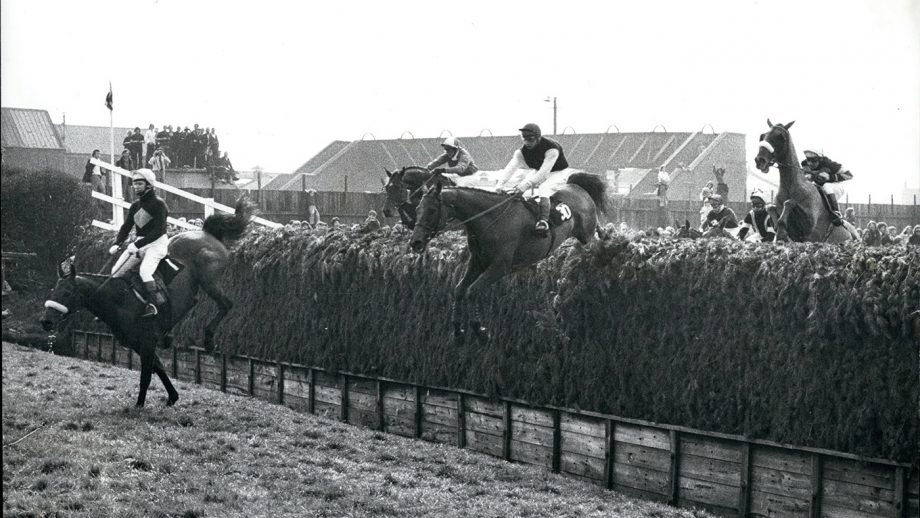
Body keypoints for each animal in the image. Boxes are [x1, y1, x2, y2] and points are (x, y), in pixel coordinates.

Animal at [40, 199, 255, 406]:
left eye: (67, 293)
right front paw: (172, 396)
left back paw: (209, 340)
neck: (121, 300)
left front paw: (139, 405)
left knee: (226, 304)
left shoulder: (147, 342)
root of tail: (207, 232)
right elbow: (158, 368)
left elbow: (146, 376)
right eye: (53, 290)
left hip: (209, 280)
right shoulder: (138, 344)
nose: (46, 321)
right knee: (197, 302)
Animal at [408, 174, 608, 346]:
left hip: (585, 234)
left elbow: (472, 291)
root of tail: (577, 186)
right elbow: (459, 290)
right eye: (417, 209)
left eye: (432, 210)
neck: (491, 220)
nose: (415, 242)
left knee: (595, 235)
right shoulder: (477, 262)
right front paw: (458, 332)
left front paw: (481, 331)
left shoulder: (500, 267)